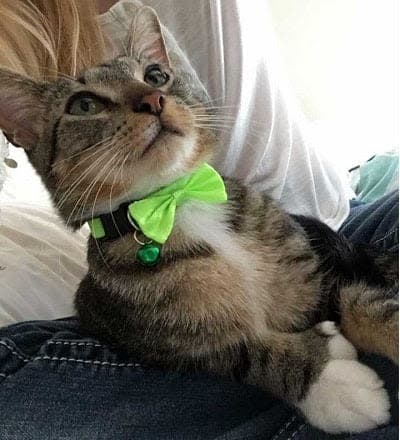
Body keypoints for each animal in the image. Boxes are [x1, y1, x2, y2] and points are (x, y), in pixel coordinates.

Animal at [0, 5, 398, 434]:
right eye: (84, 105)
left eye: (155, 75)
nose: (154, 99)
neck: (176, 201)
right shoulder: (165, 344)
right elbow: (243, 350)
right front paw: (331, 383)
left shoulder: (326, 269)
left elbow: (365, 302)